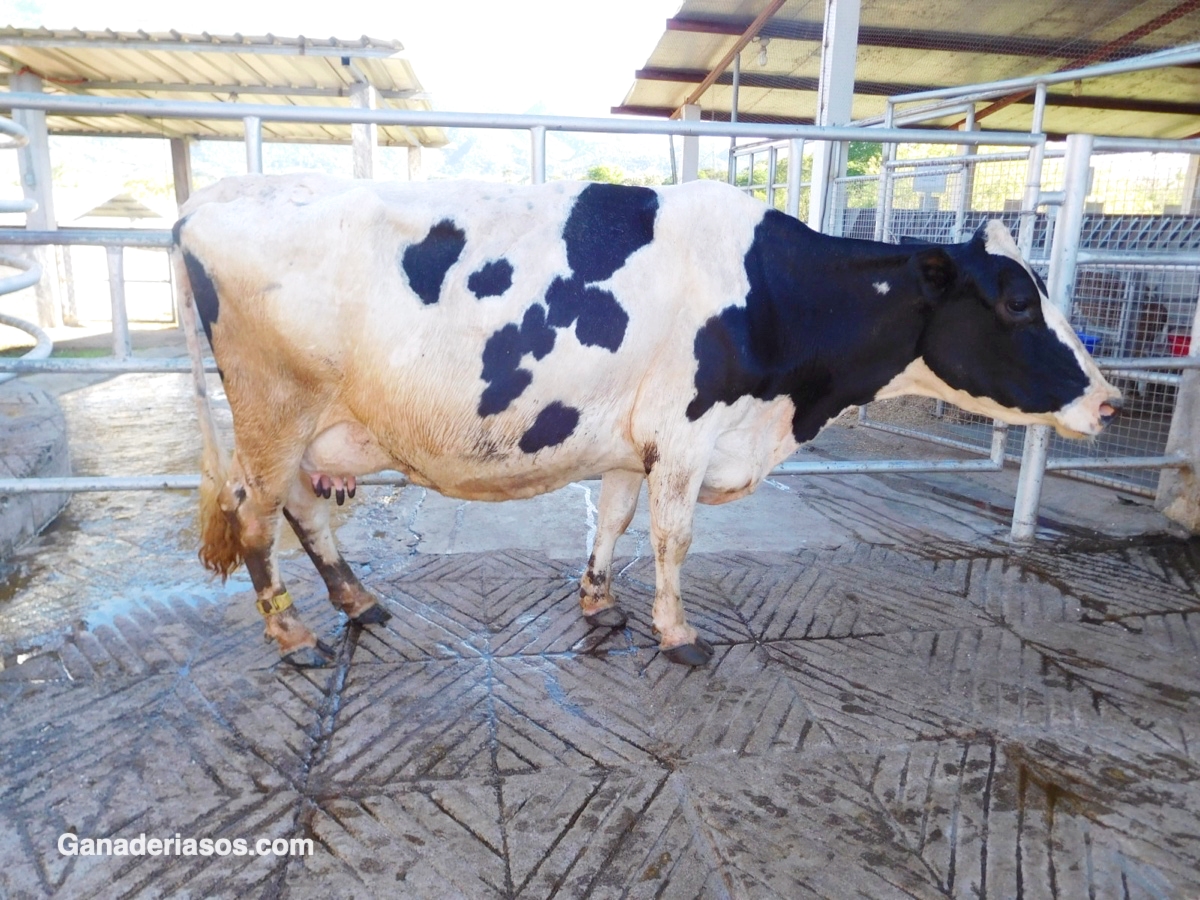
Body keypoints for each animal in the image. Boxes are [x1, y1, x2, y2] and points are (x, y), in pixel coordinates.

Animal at [174, 174, 1118, 672]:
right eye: (1015, 300)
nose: (1109, 400)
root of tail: (204, 203)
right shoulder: (687, 430)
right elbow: (674, 537)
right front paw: (678, 632)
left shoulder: (634, 441)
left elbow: (618, 521)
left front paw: (600, 603)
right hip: (274, 407)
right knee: (258, 514)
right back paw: (293, 630)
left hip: (306, 422)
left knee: (300, 506)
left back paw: (359, 601)